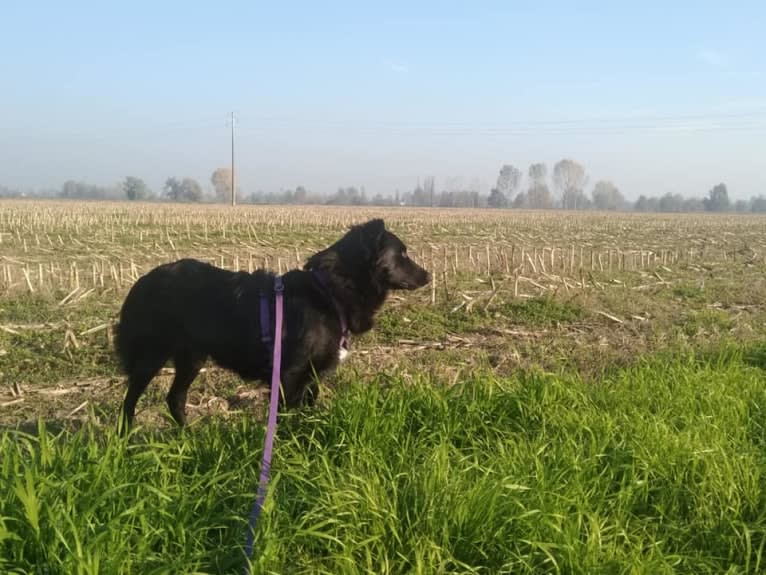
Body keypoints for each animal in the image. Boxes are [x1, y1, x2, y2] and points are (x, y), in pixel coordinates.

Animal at [114, 218, 428, 430]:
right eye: (402, 254)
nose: (428, 276)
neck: (329, 290)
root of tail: (143, 281)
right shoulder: (289, 374)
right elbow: (286, 418)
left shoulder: (312, 376)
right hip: (152, 355)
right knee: (129, 401)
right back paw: (126, 439)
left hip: (192, 357)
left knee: (175, 399)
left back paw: (188, 437)